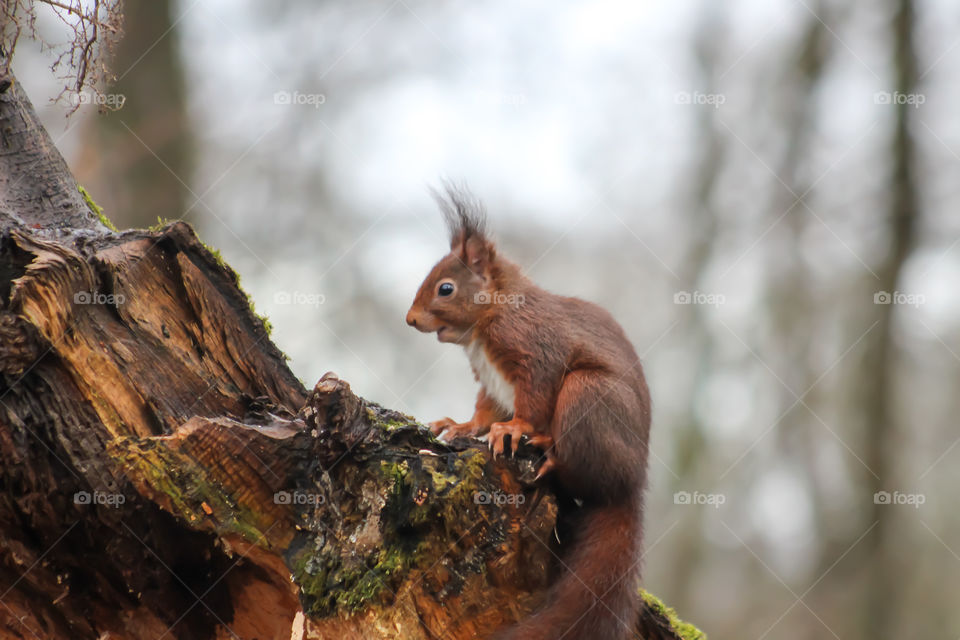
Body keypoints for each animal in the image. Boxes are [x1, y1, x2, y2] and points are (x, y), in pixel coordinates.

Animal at [404, 188, 652, 640]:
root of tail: (632, 482)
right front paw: (458, 426)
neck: (488, 320)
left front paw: (515, 428)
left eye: (446, 288)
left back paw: (549, 451)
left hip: (586, 394)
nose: (410, 319)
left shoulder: (535, 352)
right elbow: (483, 412)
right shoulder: (490, 383)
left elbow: (533, 398)